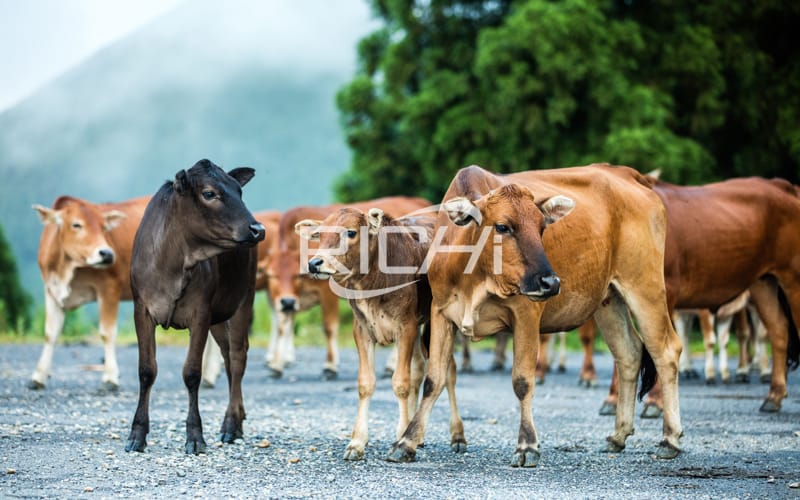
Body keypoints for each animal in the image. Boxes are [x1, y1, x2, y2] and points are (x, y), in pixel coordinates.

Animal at [30, 195, 150, 390]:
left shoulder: (110, 288)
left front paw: (110, 378)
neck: (67, 268)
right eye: (76, 224)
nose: (107, 254)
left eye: (104, 227)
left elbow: (107, 333)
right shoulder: (51, 289)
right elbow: (50, 333)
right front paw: (39, 376)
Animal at [123, 160, 264, 454]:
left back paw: (231, 424)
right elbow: (146, 371)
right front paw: (137, 435)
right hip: (219, 316)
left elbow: (192, 373)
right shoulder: (142, 309)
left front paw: (195, 436)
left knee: (238, 357)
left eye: (239, 191)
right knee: (227, 357)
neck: (175, 265)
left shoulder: (200, 313)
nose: (258, 229)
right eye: (209, 193)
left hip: (244, 298)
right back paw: (237, 420)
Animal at [266, 195, 432, 378]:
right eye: (271, 275)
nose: (314, 264)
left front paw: (330, 366)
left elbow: (328, 327)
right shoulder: (285, 299)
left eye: (297, 274)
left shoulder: (327, 293)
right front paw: (277, 365)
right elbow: (283, 326)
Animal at [296, 205, 466, 458]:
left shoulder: (406, 328)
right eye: (320, 234)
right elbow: (366, 384)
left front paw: (401, 436)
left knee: (449, 372)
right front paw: (357, 442)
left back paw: (457, 436)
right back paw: (418, 435)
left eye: (350, 232)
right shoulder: (362, 330)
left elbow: (401, 383)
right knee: (419, 369)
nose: (315, 263)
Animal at [388, 163, 680, 464]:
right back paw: (618, 434)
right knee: (629, 354)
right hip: (609, 300)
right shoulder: (441, 313)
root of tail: (631, 175)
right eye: (502, 226)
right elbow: (433, 380)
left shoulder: (526, 313)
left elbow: (522, 381)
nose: (550, 282)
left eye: (542, 228)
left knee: (666, 352)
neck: (475, 276)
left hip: (645, 288)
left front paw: (527, 444)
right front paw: (407, 442)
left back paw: (670, 438)